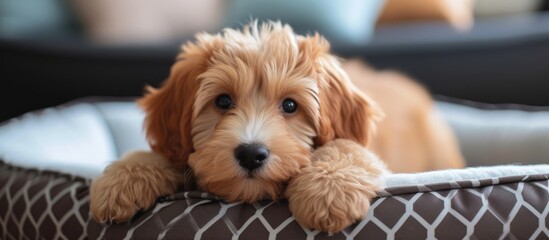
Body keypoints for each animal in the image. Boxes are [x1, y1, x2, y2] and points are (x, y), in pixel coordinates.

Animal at [89, 21, 462, 233]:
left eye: (290, 106)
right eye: (222, 101)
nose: (251, 154)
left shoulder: (363, 148)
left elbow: (344, 147)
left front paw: (327, 193)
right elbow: (162, 153)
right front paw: (120, 180)